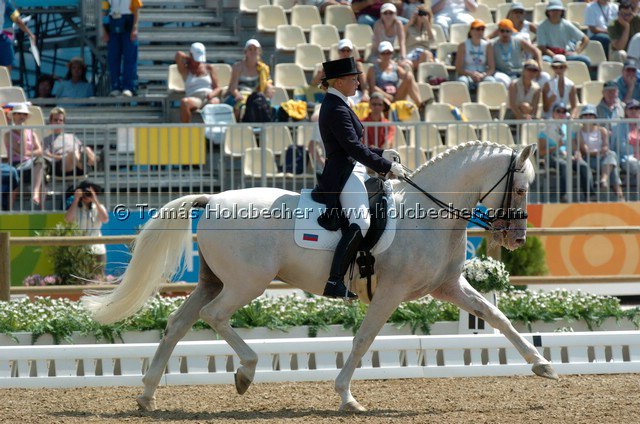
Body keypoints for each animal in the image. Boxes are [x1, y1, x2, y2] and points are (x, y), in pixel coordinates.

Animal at [84, 141, 556, 412]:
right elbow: (363, 339)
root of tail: (213, 199)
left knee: (178, 323)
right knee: (214, 317)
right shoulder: (391, 292)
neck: (430, 214)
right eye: (520, 188)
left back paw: (147, 395)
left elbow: (498, 318)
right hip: (245, 284)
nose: (517, 238)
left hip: (214, 281)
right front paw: (346, 396)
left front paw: (543, 366)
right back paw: (245, 372)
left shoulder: (448, 286)